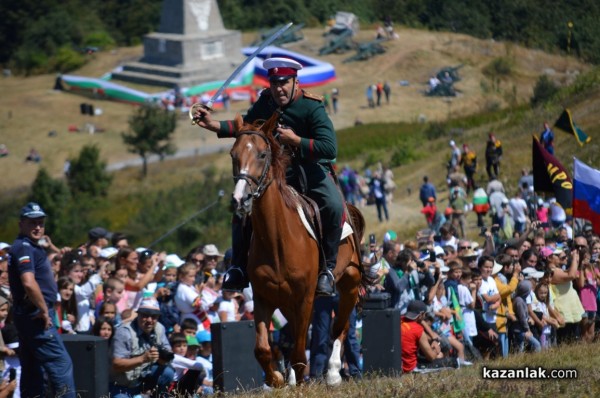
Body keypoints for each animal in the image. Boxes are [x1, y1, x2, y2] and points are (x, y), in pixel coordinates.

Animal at [231, 113, 366, 388]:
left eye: (262, 154)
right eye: (233, 154)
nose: (241, 199)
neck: (277, 240)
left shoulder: (304, 298)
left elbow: (300, 352)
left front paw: (301, 379)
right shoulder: (264, 297)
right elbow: (263, 348)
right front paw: (277, 378)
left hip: (350, 282)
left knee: (341, 327)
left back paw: (333, 372)